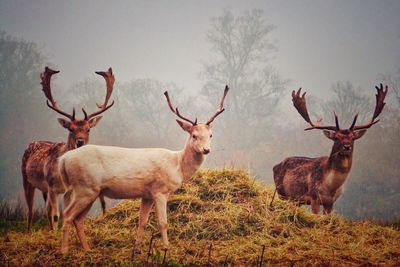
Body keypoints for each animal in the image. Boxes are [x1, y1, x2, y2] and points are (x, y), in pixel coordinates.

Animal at [21, 67, 115, 232]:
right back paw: (30, 232)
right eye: (71, 129)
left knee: (45, 210)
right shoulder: (52, 186)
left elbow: (65, 213)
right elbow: (55, 215)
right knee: (31, 211)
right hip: (26, 179)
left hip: (44, 190)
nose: (80, 141)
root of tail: (30, 144)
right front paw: (55, 234)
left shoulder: (69, 190)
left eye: (88, 129)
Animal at [57, 86, 230, 255]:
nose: (206, 150)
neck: (177, 165)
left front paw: (137, 248)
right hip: (84, 187)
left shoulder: (147, 194)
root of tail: (63, 160)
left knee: (78, 219)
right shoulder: (160, 190)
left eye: (210, 135)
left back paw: (87, 250)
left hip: (90, 191)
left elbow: (143, 221)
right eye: (194, 135)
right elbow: (163, 222)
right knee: (67, 215)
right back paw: (64, 251)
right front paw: (166, 248)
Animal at [272, 85, 388, 216]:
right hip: (282, 193)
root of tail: (275, 166)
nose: (347, 147)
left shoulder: (330, 203)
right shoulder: (314, 197)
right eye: (336, 137)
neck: (331, 187)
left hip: (296, 200)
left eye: (353, 137)